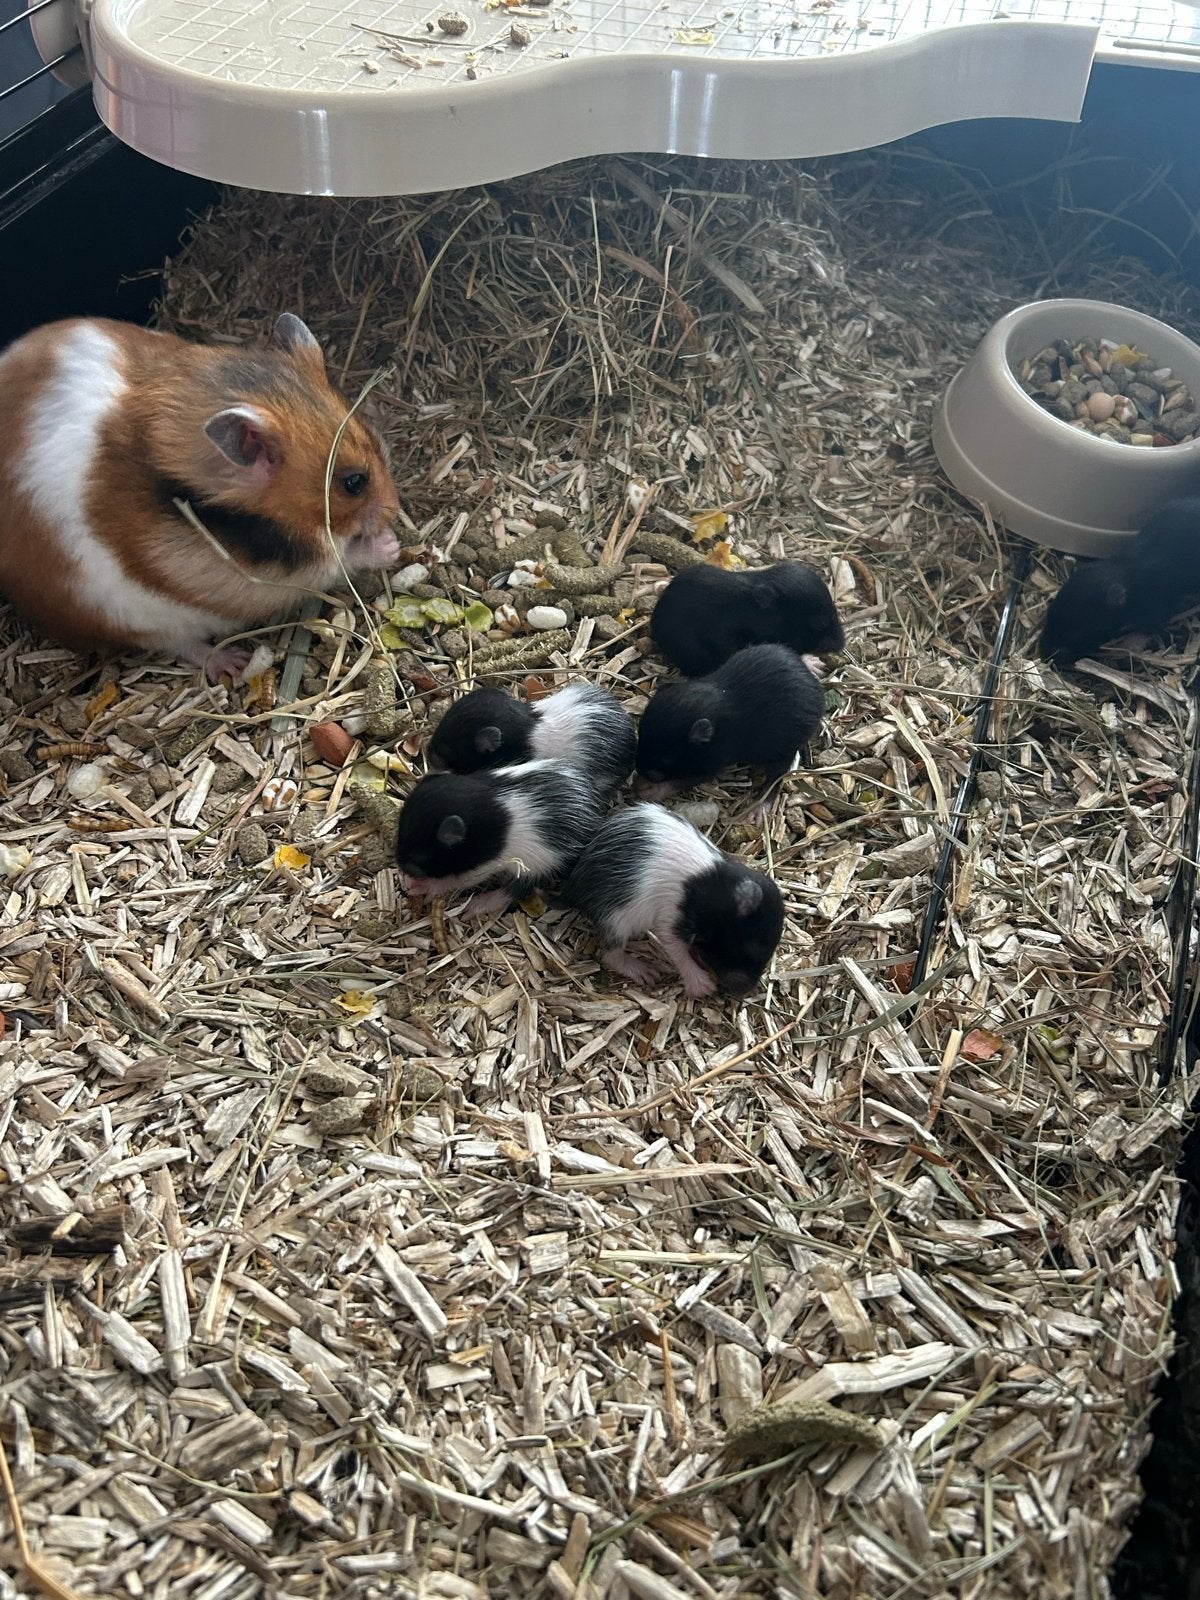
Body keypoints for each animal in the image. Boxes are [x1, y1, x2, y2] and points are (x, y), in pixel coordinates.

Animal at [0, 313, 400, 681]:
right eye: (354, 483)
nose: (394, 512)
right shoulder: (270, 574)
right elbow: (339, 560)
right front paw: (390, 546)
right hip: (131, 616)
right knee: (179, 643)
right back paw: (232, 663)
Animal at [395, 758, 607, 918]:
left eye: (418, 857)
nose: (403, 871)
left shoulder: (482, 865)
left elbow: (454, 881)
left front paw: (420, 886)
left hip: (540, 866)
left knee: (516, 890)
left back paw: (475, 906)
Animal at [558, 802, 785, 998]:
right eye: (750, 949)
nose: (743, 992)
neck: (715, 890)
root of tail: (571, 888)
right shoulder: (671, 918)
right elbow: (675, 947)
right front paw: (703, 986)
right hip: (616, 919)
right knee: (611, 954)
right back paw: (645, 971)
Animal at [636, 643, 824, 800]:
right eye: (640, 734)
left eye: (666, 757)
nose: (638, 771)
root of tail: (816, 689)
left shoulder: (711, 763)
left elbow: (681, 782)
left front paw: (648, 791)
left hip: (785, 749)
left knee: (775, 779)